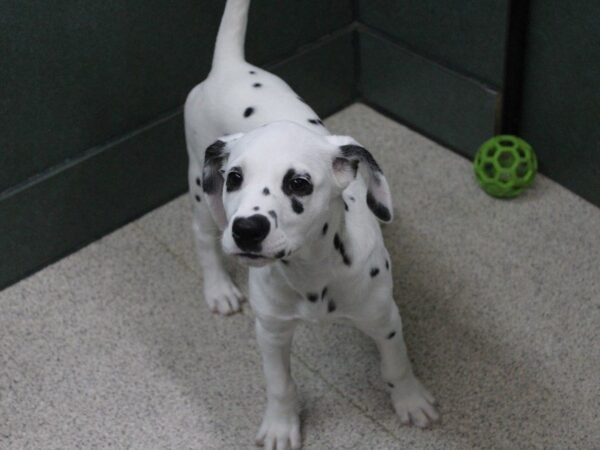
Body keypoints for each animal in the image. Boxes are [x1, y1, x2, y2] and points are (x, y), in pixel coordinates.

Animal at [185, 0, 438, 450]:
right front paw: (281, 424)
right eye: (235, 178)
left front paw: (410, 401)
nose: (247, 230)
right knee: (203, 237)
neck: (313, 274)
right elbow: (280, 385)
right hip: (201, 190)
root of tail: (229, 65)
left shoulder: (385, 318)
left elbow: (396, 365)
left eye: (298, 183)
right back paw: (218, 288)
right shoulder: (270, 331)